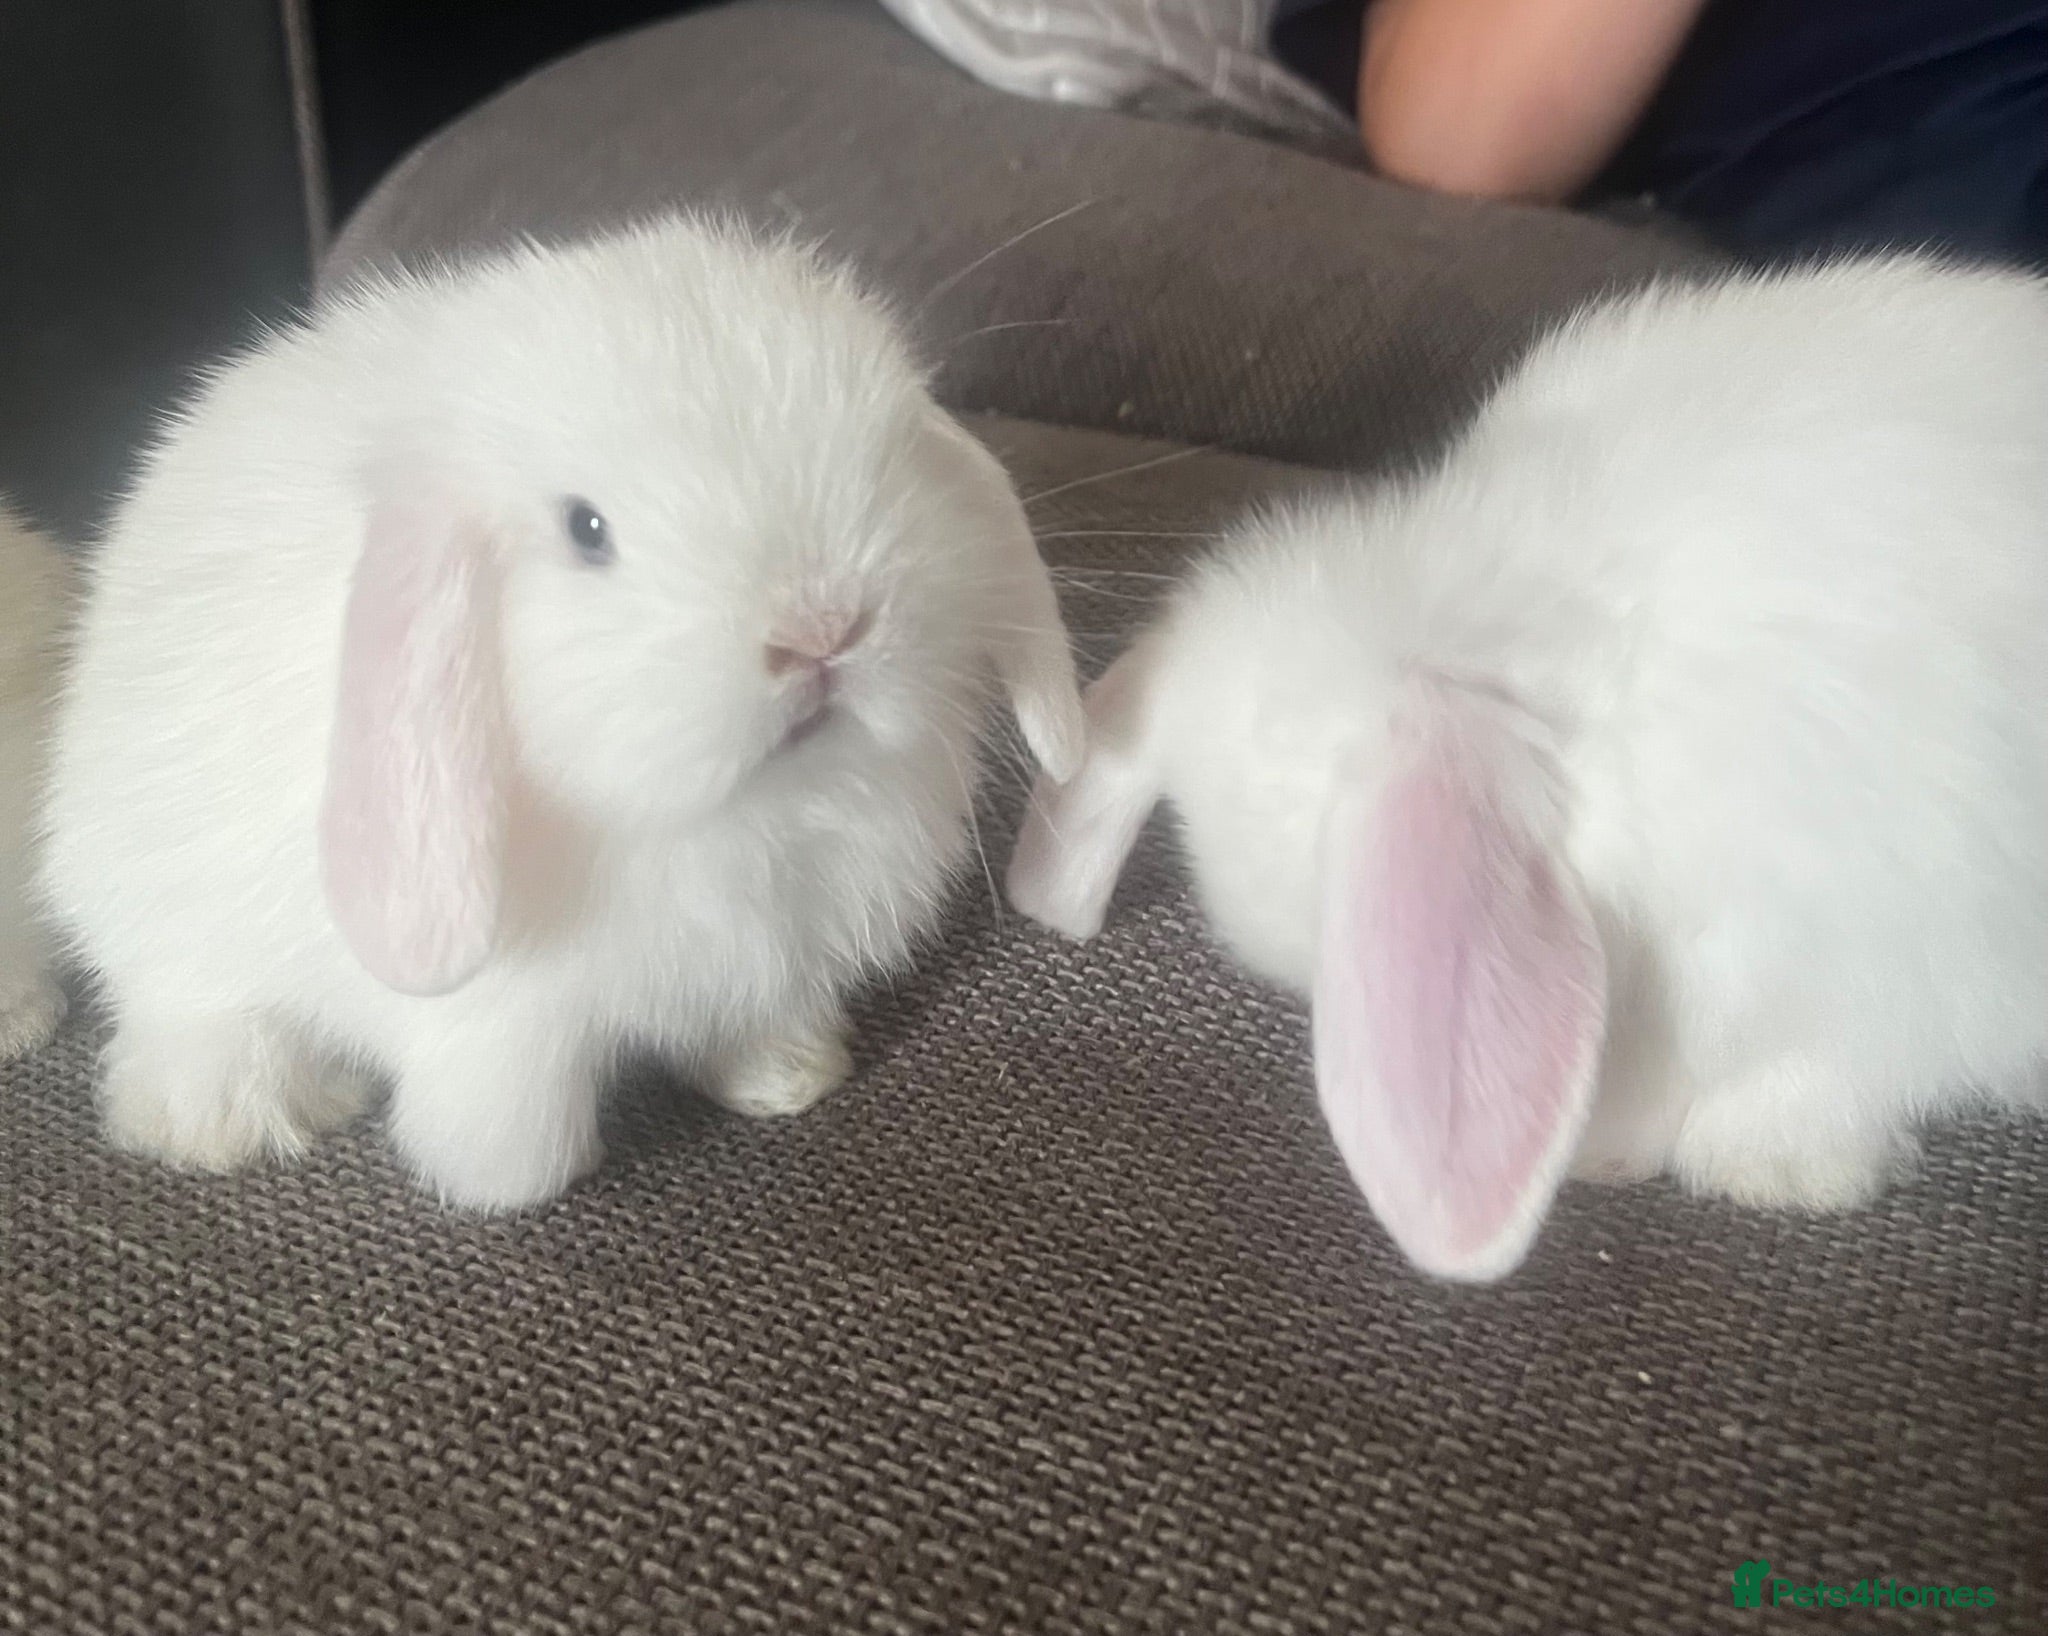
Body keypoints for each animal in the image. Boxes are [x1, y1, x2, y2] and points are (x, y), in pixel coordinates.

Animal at [37, 215, 1083, 1212]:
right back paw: (228, 1121)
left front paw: (792, 1080)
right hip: (170, 925)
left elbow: (755, 1025)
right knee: (185, 1012)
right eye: (587, 530)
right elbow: (506, 1122)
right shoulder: (500, 1020)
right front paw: (511, 1189)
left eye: (892, 458)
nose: (823, 629)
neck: (730, 813)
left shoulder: (769, 959)